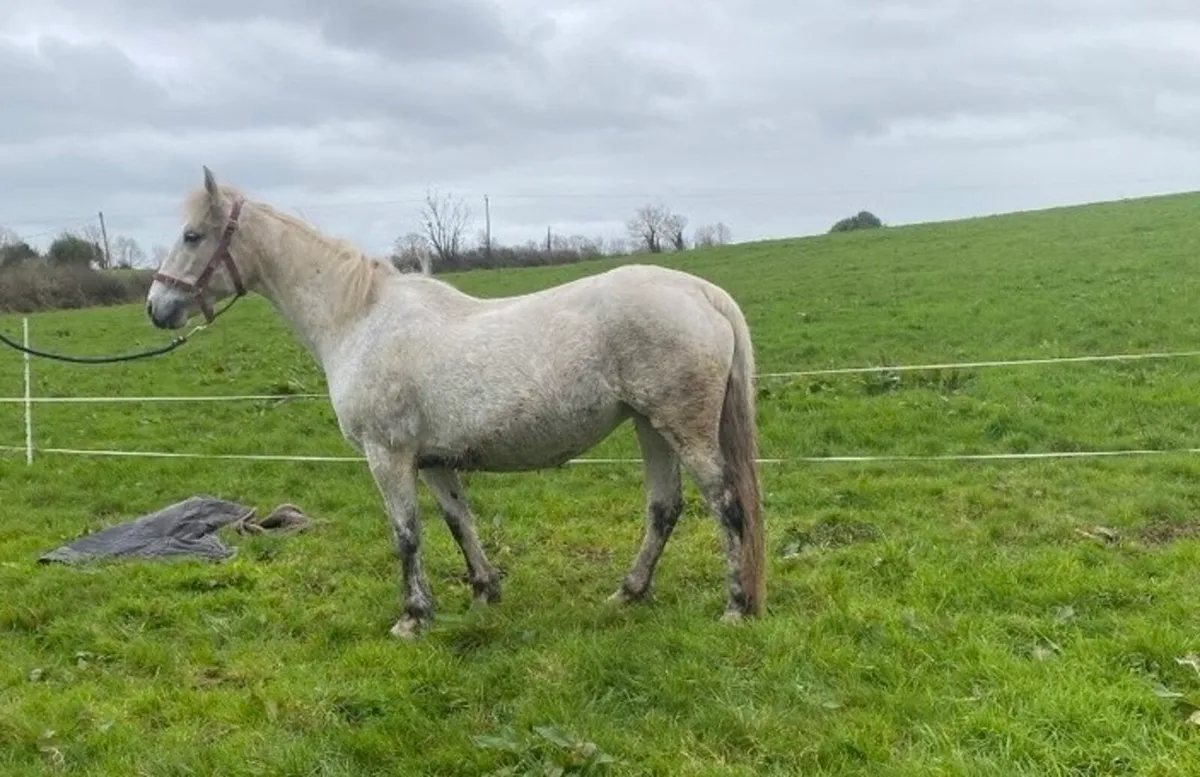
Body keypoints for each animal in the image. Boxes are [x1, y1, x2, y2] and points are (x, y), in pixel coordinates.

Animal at [146, 167, 766, 638]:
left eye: (193, 236)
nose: (156, 307)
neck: (359, 319)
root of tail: (702, 292)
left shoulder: (387, 456)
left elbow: (406, 534)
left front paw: (413, 618)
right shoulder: (435, 460)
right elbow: (457, 521)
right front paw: (484, 591)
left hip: (682, 428)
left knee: (726, 503)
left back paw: (736, 607)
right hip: (648, 425)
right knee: (664, 508)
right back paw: (628, 594)